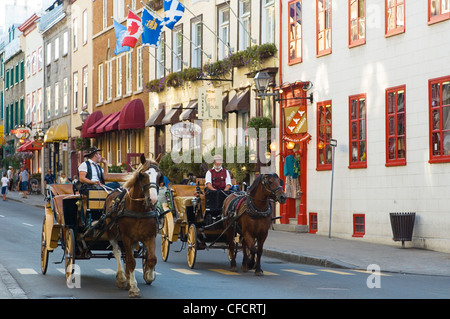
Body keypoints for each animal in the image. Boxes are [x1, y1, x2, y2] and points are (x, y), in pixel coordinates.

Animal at [103, 154, 163, 298]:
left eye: (160, 176)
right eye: (143, 175)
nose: (153, 200)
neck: (138, 210)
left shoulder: (150, 236)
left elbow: (152, 259)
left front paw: (149, 275)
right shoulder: (126, 237)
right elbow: (131, 262)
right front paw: (134, 287)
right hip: (112, 234)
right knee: (118, 252)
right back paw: (122, 278)